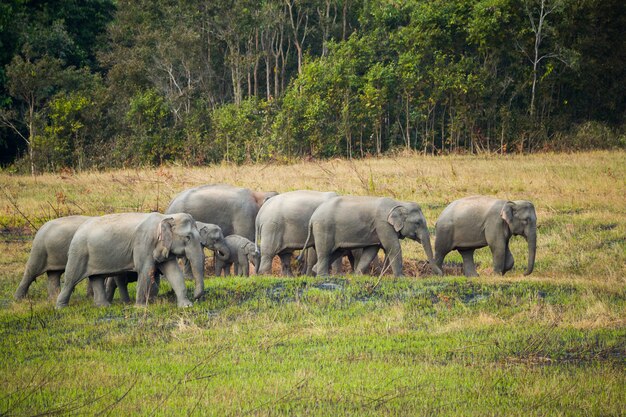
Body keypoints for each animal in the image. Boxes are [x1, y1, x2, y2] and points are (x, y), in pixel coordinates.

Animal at [54, 213, 204, 308]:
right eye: (188, 237)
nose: (197, 298)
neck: (164, 217)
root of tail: (79, 229)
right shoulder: (143, 243)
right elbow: (145, 270)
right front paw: (140, 307)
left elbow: (174, 272)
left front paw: (186, 306)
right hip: (79, 251)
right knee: (71, 279)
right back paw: (60, 307)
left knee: (96, 278)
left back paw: (104, 306)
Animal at [302, 196, 438, 276]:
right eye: (418, 223)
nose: (439, 274)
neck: (399, 203)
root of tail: (312, 217)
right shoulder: (382, 224)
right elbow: (394, 247)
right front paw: (401, 278)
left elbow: (370, 251)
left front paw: (358, 275)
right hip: (324, 228)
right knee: (325, 252)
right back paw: (323, 276)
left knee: (335, 252)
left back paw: (315, 270)